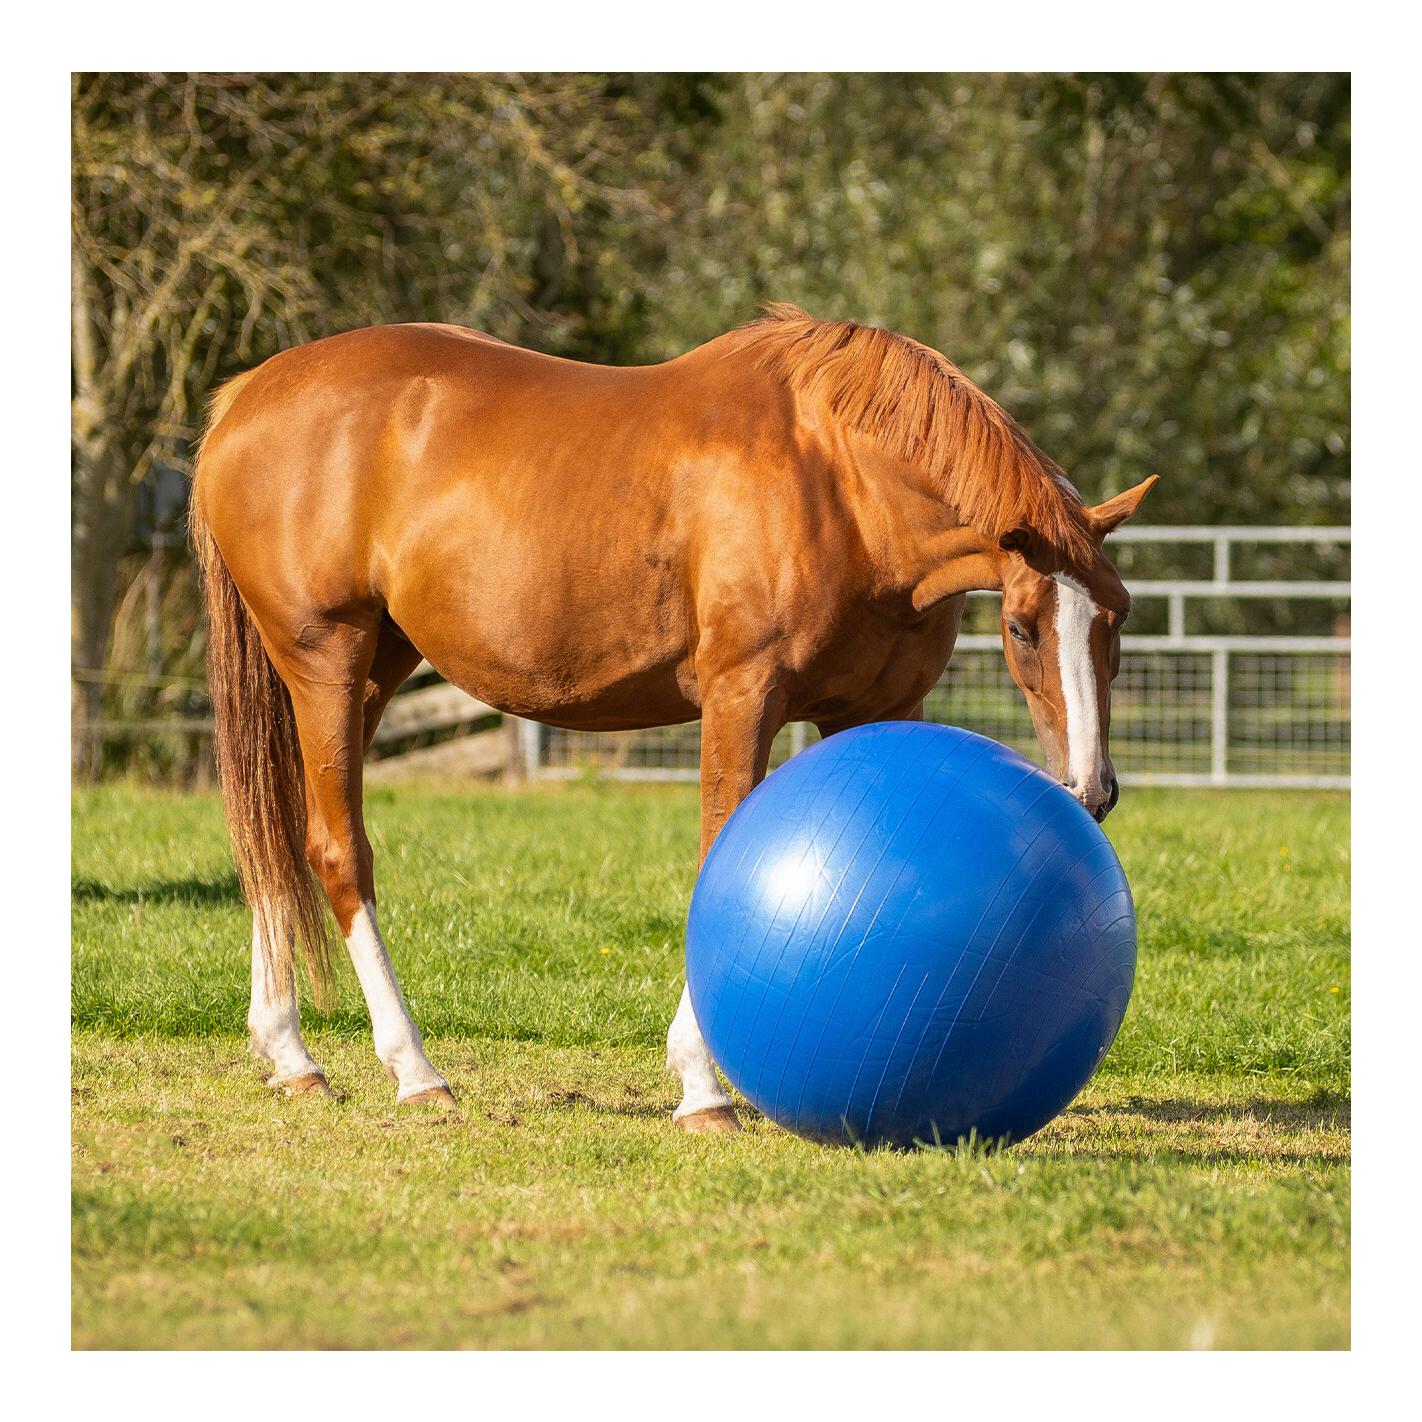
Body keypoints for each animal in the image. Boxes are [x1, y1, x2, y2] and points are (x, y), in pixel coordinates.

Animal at [189, 304, 1155, 1132]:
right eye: (1023, 627)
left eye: (1119, 616)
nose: (1089, 790)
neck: (840, 485)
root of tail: (250, 397)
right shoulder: (741, 697)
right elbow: (717, 847)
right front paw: (701, 1088)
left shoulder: (875, 712)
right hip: (327, 658)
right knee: (335, 849)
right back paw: (414, 1070)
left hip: (373, 670)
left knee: (277, 835)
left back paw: (291, 1055)